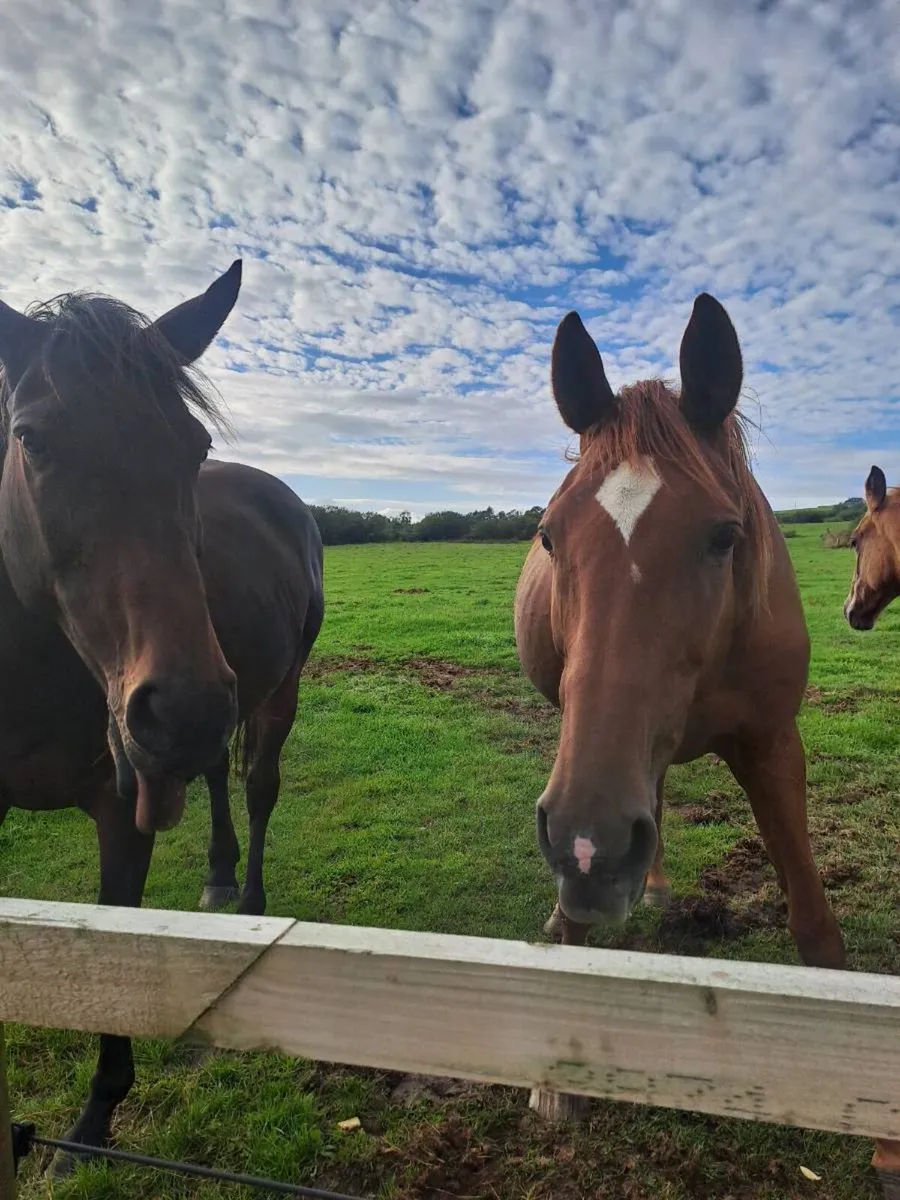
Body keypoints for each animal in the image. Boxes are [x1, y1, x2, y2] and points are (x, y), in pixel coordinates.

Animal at [0, 261, 324, 1161]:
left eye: (194, 446)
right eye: (32, 439)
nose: (180, 706)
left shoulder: (122, 806)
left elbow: (117, 936)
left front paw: (95, 1114)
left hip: (273, 694)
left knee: (255, 784)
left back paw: (247, 903)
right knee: (213, 775)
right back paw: (217, 875)